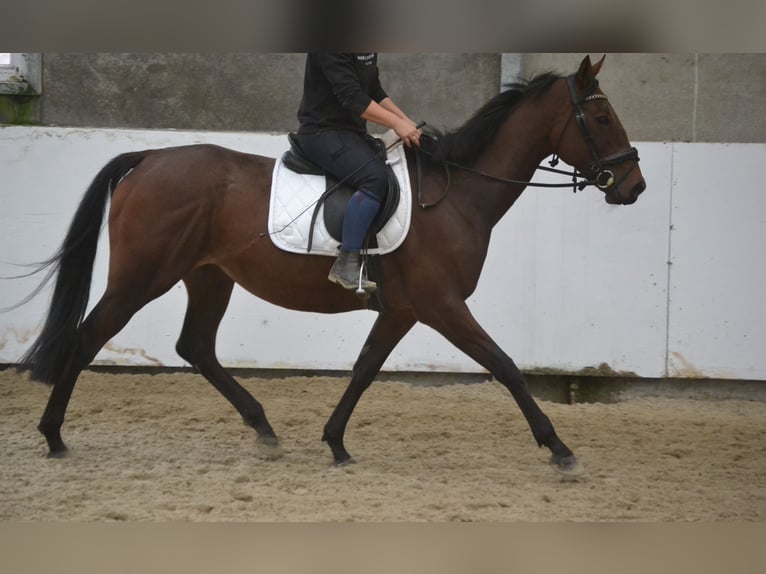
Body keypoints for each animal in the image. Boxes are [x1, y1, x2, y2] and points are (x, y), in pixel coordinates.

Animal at [18, 55, 644, 476]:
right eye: (602, 117)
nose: (634, 186)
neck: (458, 193)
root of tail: (149, 158)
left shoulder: (402, 309)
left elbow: (365, 368)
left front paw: (336, 442)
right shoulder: (441, 305)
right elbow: (506, 366)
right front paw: (559, 448)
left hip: (209, 275)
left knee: (194, 346)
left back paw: (263, 428)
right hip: (142, 276)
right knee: (89, 337)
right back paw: (53, 437)